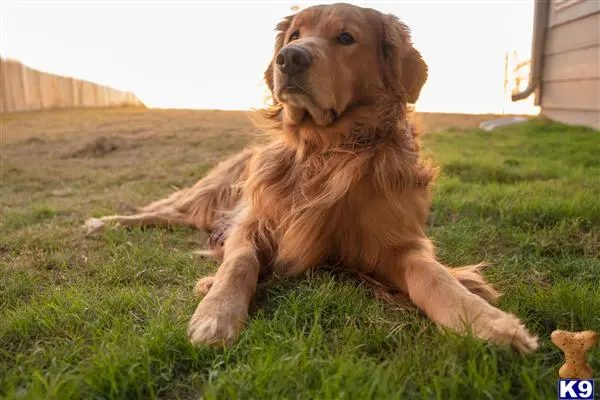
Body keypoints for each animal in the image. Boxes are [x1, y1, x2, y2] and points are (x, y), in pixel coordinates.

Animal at [88, 3, 540, 354]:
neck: (325, 151)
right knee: (162, 211)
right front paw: (215, 312)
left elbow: (435, 277)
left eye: (346, 37)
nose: (289, 58)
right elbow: (239, 262)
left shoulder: (398, 242)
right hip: (210, 194)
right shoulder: (251, 223)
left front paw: (486, 320)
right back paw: (105, 223)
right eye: (295, 34)